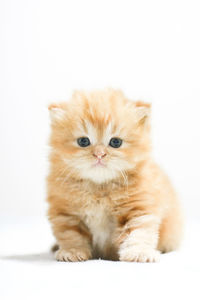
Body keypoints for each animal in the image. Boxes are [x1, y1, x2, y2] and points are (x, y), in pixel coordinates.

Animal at [46, 88, 183, 262]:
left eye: (115, 142)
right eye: (83, 141)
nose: (99, 154)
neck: (99, 187)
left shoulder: (139, 208)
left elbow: (138, 233)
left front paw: (138, 253)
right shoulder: (66, 213)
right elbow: (71, 235)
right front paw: (72, 252)